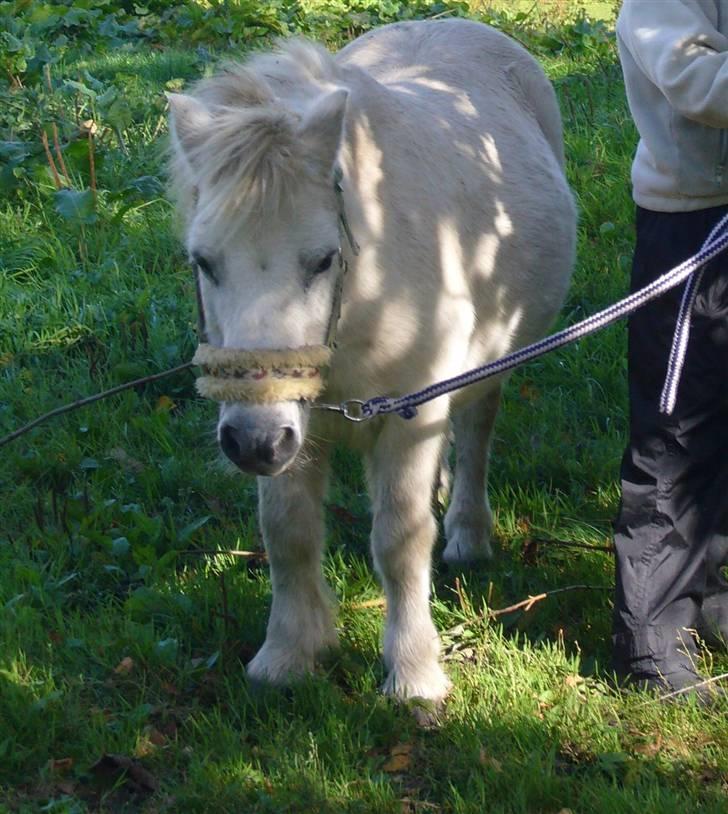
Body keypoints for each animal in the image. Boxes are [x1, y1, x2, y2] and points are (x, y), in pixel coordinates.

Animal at [169, 20, 576, 708]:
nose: (253, 443)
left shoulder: (411, 416)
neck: (374, 292)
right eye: (204, 261)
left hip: (493, 363)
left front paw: (413, 674)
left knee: (477, 431)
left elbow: (400, 539)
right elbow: (288, 532)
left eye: (322, 259)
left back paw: (469, 532)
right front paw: (288, 655)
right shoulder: (293, 429)